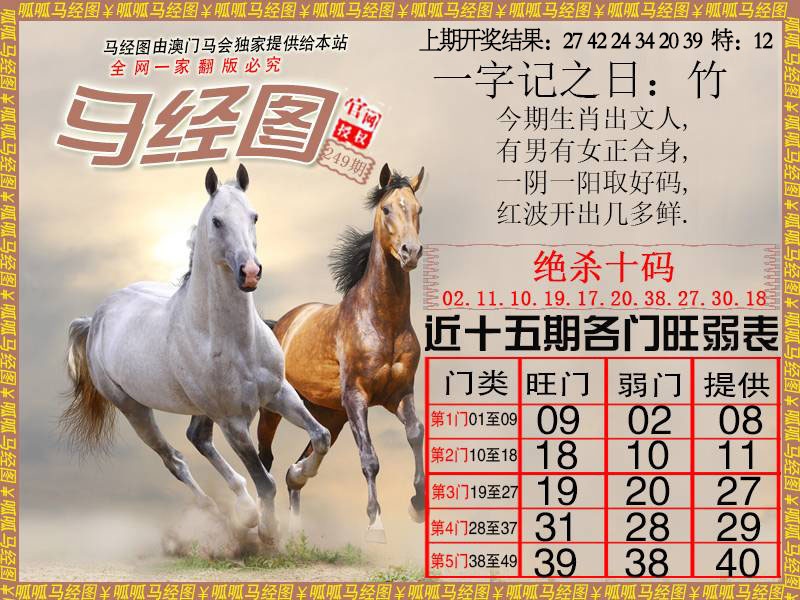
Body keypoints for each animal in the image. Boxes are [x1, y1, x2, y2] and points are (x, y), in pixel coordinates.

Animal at [63, 165, 331, 543]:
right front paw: (268, 531)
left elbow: (320, 437)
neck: (235, 341)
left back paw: (243, 509)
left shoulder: (278, 393)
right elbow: (265, 480)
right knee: (174, 459)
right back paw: (225, 515)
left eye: (254, 216)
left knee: (197, 438)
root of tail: (96, 317)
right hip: (134, 409)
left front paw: (298, 474)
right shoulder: (233, 421)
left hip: (200, 409)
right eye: (217, 221)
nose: (250, 272)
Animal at [256, 163, 425, 543]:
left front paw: (417, 505)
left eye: (418, 209)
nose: (410, 252)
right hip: (275, 409)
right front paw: (376, 524)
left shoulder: (399, 395)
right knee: (265, 458)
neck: (382, 321)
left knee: (298, 465)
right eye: (386, 209)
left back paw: (297, 510)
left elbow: (415, 434)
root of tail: (280, 324)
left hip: (329, 414)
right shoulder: (357, 397)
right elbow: (370, 458)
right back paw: (264, 524)